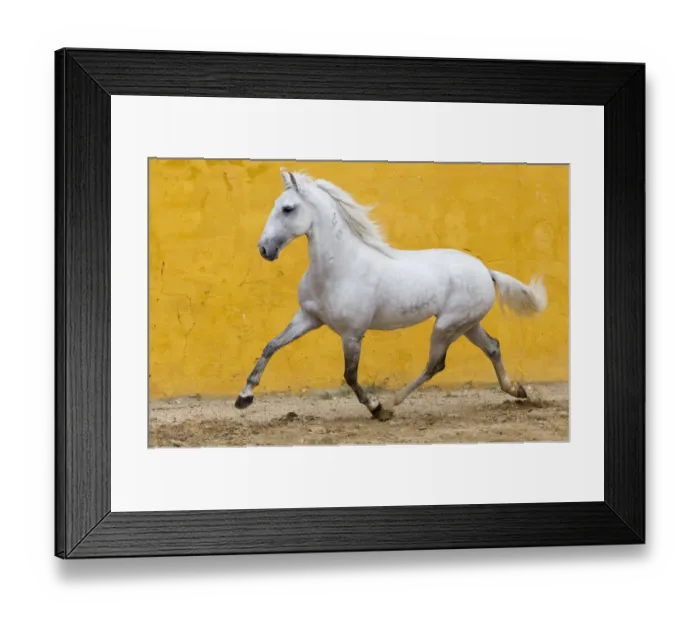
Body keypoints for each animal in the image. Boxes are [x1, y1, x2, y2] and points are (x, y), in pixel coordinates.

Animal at [234, 169, 548, 421]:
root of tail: (486, 271)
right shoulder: (308, 318)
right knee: (492, 347)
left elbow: (350, 376)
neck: (340, 268)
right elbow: (271, 346)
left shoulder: (352, 334)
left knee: (436, 364)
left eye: (287, 208)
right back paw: (517, 390)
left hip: (448, 325)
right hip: (468, 325)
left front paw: (376, 408)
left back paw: (393, 403)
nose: (264, 249)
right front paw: (244, 397)